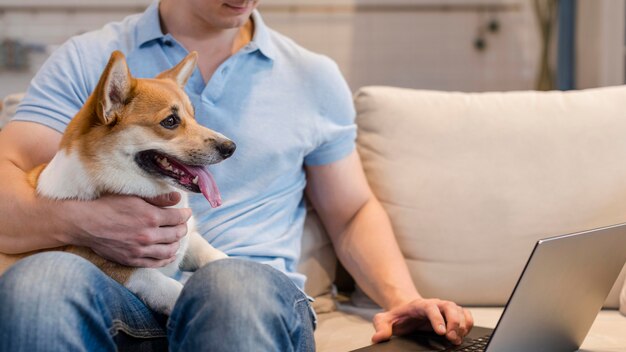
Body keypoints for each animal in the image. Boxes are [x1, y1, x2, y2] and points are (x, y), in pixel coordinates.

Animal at [0, 51, 234, 314]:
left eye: (194, 116)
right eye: (171, 121)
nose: (231, 148)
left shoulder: (189, 239)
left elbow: (212, 253)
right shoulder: (117, 266)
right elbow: (169, 286)